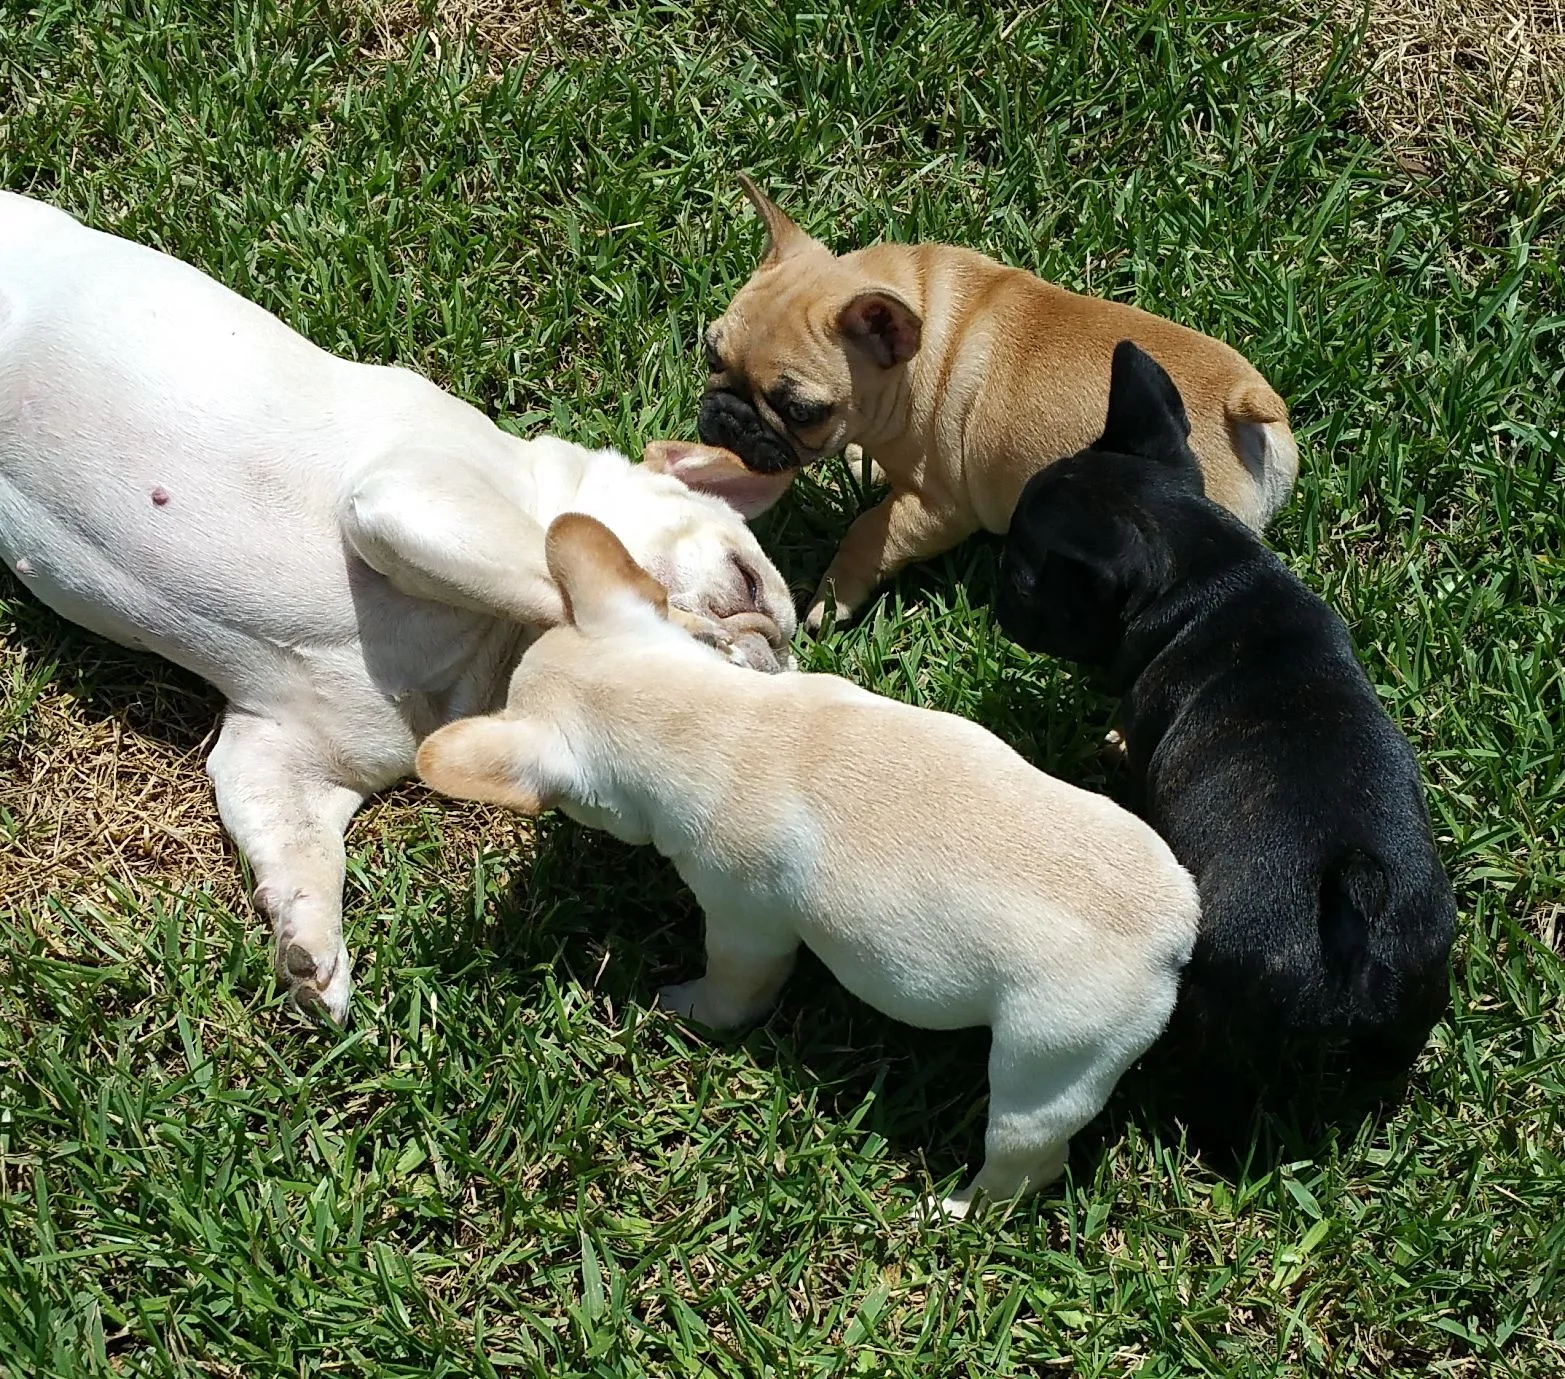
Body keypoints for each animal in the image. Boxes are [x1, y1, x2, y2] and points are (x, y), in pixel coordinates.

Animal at [0, 188, 801, 1014]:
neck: (478, 653)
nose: (775, 660)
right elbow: (547, 572)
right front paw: (686, 638)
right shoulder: (413, 494)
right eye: (747, 579)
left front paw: (311, 954)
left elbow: (300, 854)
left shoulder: (282, 757)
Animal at [416, 516, 1195, 1214]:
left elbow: (731, 991)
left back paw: (955, 1207)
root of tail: (1176, 927)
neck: (713, 718)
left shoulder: (743, 926)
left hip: (1045, 1065)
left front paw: (684, 1006)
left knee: (1024, 1160)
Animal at [995, 341, 1458, 1095]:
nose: (995, 596)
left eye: (1022, 578)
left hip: (1221, 998)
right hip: (1417, 990)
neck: (1205, 571)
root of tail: (1351, 909)